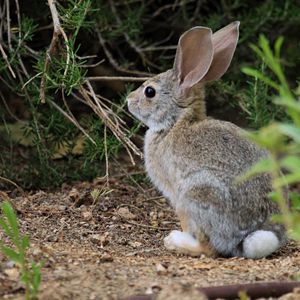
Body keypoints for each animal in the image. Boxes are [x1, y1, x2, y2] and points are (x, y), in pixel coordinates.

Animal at [125, 22, 288, 258]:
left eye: (149, 92)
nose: (128, 100)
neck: (175, 123)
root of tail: (260, 232)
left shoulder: (177, 195)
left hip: (197, 193)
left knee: (209, 248)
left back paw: (175, 241)